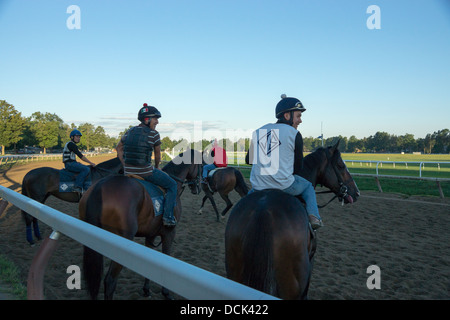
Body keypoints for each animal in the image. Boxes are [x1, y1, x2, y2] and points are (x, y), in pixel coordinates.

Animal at [79, 149, 202, 300]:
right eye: (202, 165)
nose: (198, 186)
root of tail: (98, 189)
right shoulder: (169, 233)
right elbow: (166, 257)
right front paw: (166, 293)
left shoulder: (151, 234)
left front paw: (146, 289)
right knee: (110, 281)